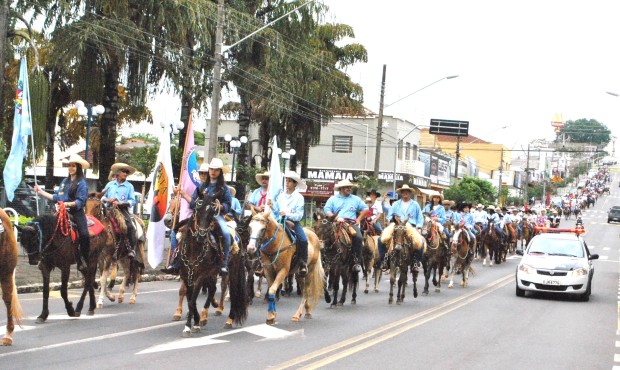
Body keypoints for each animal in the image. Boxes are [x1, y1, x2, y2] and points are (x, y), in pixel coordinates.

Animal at [177, 194, 247, 336]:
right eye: (197, 211)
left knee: (233, 292)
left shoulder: (200, 276)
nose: (201, 235)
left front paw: (188, 326)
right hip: (212, 273)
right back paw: (205, 316)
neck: (194, 248)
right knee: (213, 289)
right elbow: (190, 300)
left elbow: (192, 301)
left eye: (212, 214)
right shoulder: (187, 276)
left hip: (232, 269)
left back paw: (229, 320)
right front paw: (196, 322)